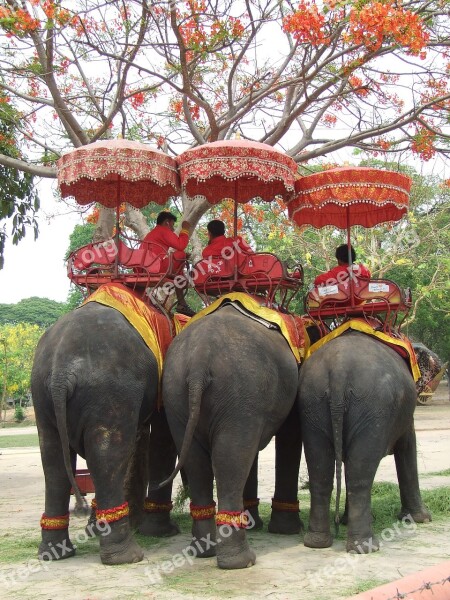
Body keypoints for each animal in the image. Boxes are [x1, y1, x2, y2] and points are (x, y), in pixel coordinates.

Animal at [30, 302, 178, 564]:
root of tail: (61, 371)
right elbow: (162, 438)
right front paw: (164, 532)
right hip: (110, 391)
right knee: (107, 455)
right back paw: (126, 556)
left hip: (41, 392)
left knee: (53, 460)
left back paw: (54, 553)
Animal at [158, 308, 302, 568]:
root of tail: (200, 358)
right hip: (241, 394)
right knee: (231, 459)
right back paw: (241, 561)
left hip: (175, 394)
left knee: (198, 463)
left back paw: (204, 551)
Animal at [298, 330, 430, 556]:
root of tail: (339, 368)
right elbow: (407, 446)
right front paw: (421, 519)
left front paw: (344, 520)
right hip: (373, 407)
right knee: (361, 475)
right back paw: (365, 547)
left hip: (311, 403)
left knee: (321, 471)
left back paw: (317, 542)